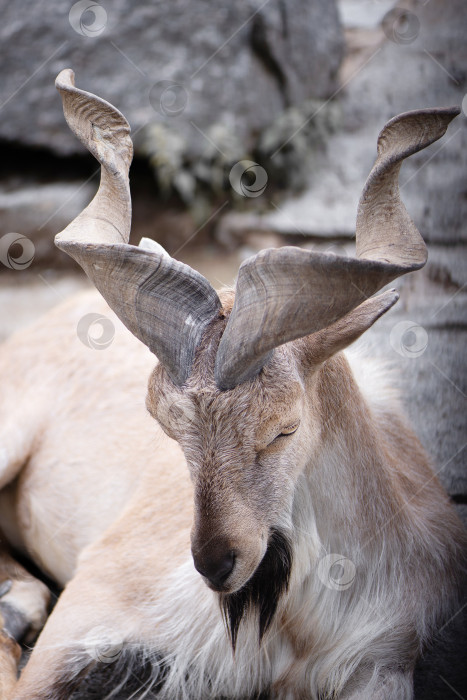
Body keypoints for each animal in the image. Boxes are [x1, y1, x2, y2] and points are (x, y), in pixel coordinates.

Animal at [0, 68, 466, 696]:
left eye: (284, 429)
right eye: (169, 428)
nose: (216, 563)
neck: (295, 628)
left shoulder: (380, 662)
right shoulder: (95, 603)